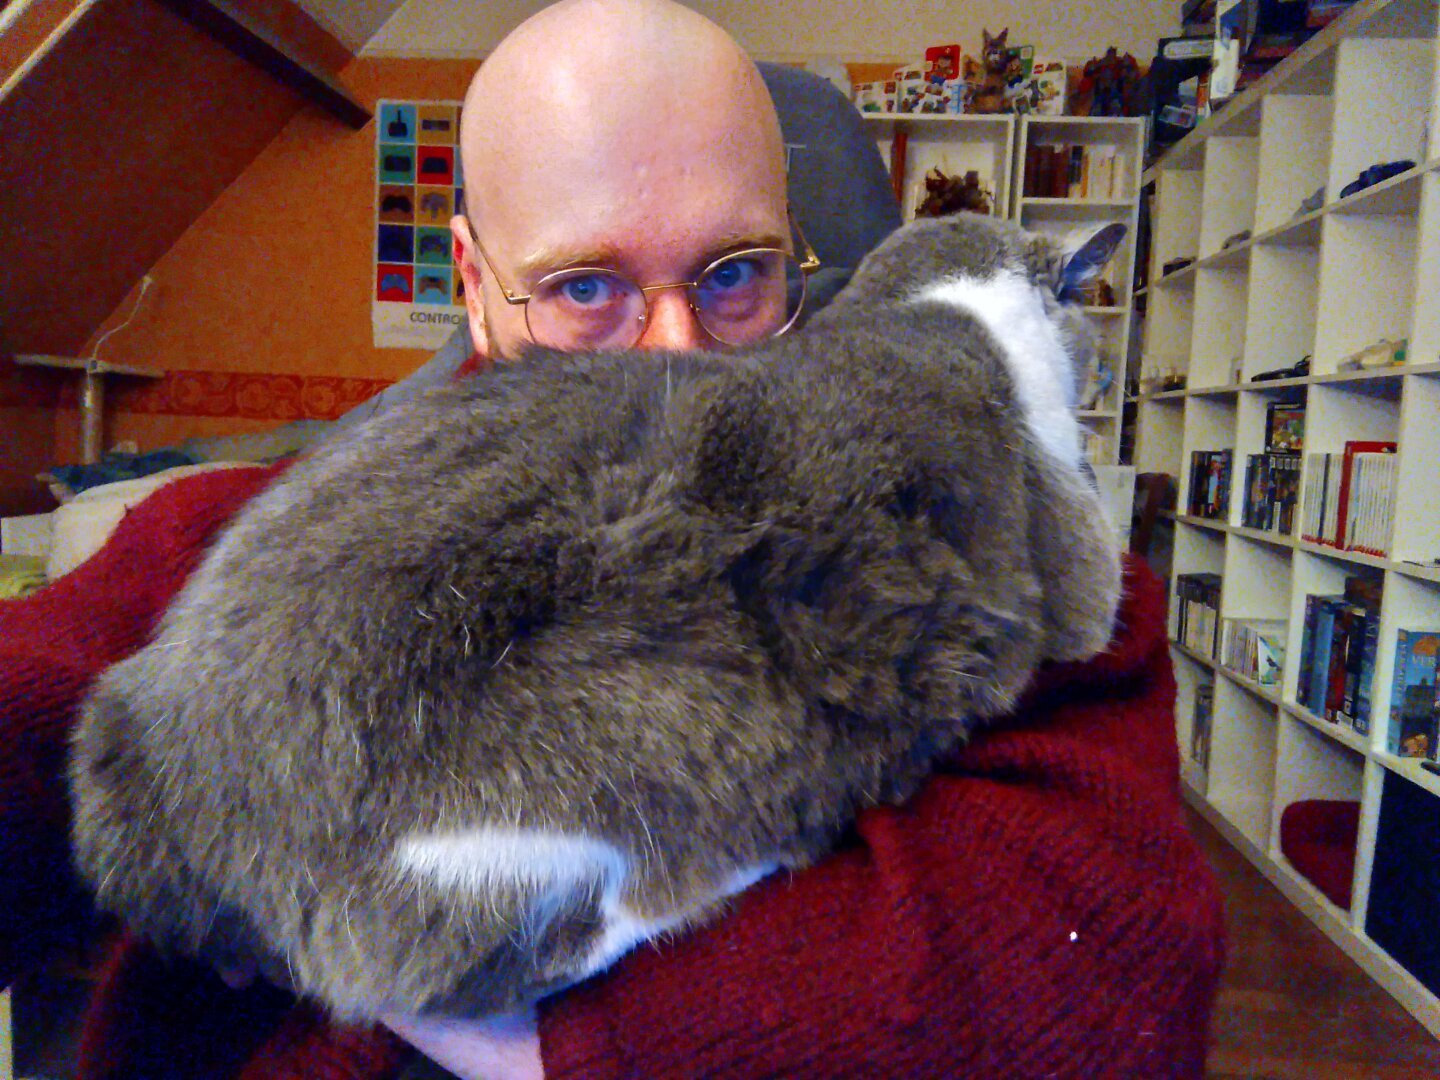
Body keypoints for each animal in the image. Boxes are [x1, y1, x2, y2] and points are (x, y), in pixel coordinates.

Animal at [67, 208, 1123, 1025]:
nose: (1104, 378)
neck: (936, 312)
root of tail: (174, 788)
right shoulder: (1075, 561)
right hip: (624, 740)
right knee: (466, 969)